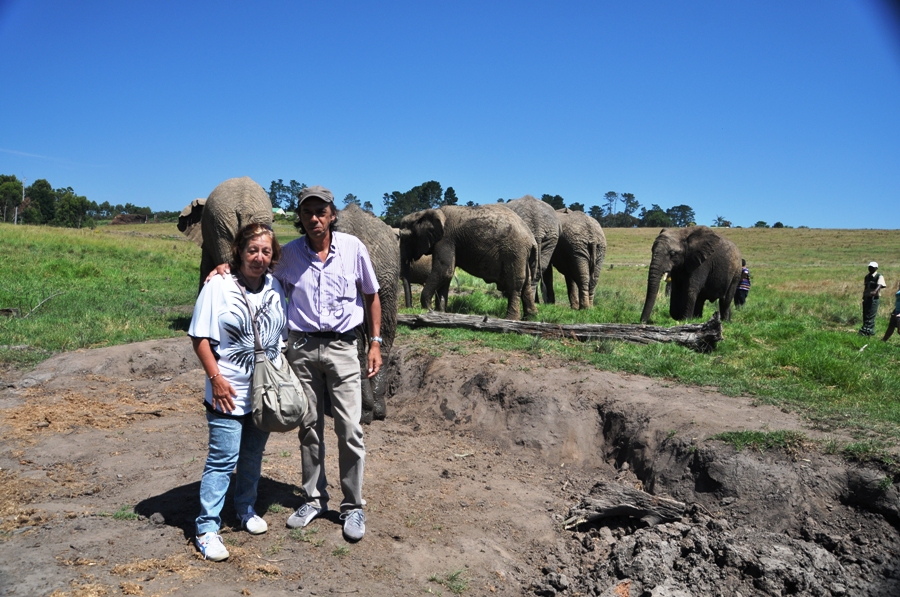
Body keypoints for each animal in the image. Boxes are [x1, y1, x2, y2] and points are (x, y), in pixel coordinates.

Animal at [400, 204, 536, 322]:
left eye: (405, 237)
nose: (410, 308)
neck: (429, 211)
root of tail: (531, 238)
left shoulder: (446, 239)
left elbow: (443, 271)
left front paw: (429, 310)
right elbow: (446, 275)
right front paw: (440, 313)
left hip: (514, 252)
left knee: (514, 285)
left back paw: (510, 319)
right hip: (522, 254)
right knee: (527, 285)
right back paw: (530, 318)